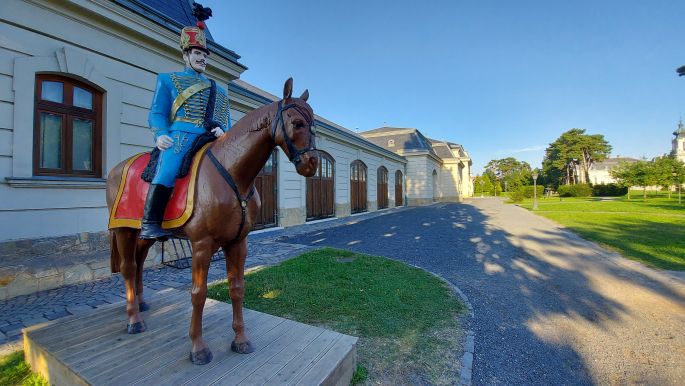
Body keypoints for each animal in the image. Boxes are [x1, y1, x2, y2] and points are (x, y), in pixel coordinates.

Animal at [105, 79, 320, 364]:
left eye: (313, 124)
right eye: (296, 123)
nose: (312, 164)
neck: (233, 173)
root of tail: (116, 168)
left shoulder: (238, 243)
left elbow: (237, 288)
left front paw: (241, 339)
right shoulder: (201, 245)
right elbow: (198, 293)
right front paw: (198, 347)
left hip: (145, 233)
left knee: (139, 262)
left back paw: (141, 303)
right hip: (123, 229)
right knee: (128, 267)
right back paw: (134, 319)